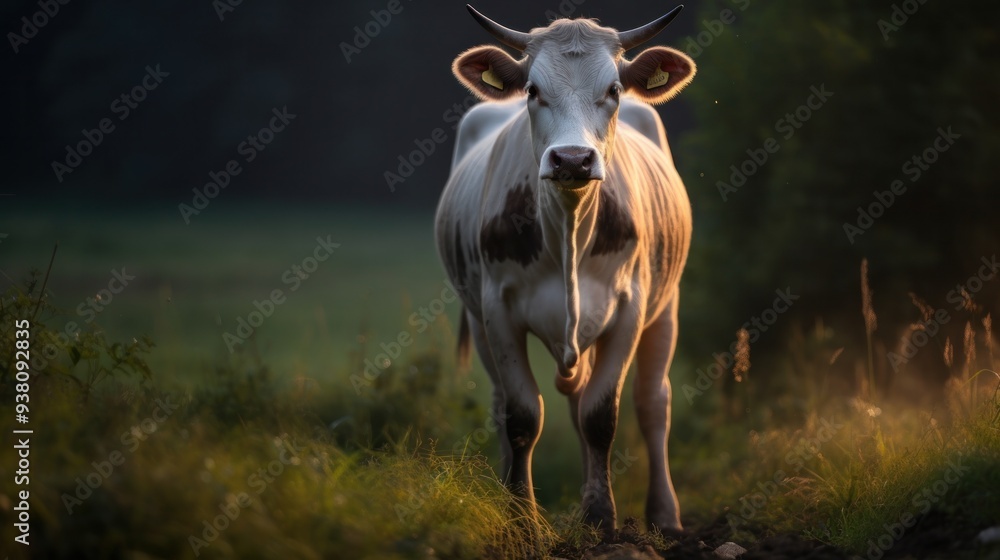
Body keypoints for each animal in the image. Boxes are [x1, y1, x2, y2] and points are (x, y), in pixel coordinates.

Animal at [435, 5, 695, 535]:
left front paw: (599, 514)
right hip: (478, 317)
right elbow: (522, 416)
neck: (569, 234)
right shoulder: (496, 309)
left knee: (652, 403)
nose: (572, 159)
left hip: (666, 307)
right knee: (504, 403)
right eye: (533, 90)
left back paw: (664, 514)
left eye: (614, 88)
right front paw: (521, 517)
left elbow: (600, 414)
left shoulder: (630, 308)